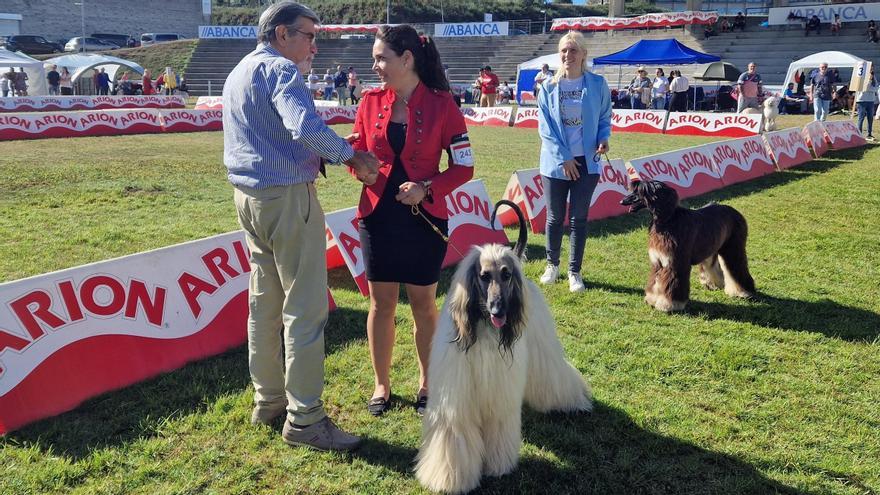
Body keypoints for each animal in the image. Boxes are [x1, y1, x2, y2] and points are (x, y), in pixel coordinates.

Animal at [620, 180, 756, 312]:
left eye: (640, 192)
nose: (622, 201)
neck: (667, 220)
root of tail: (735, 211)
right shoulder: (658, 262)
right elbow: (655, 282)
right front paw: (652, 300)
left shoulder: (675, 262)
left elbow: (672, 284)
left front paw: (669, 305)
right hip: (711, 245)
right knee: (712, 264)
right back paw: (713, 284)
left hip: (733, 247)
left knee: (737, 267)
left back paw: (743, 292)